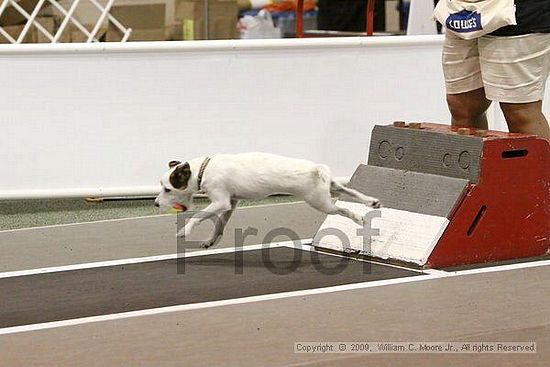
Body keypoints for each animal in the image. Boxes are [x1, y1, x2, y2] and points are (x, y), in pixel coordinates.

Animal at [154, 152, 380, 247]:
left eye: (167, 189)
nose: (155, 203)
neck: (203, 170)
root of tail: (315, 168)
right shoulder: (230, 204)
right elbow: (219, 225)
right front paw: (210, 240)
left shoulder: (220, 202)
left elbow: (198, 216)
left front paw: (184, 231)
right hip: (330, 188)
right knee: (349, 191)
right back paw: (371, 201)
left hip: (320, 202)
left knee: (344, 210)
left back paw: (359, 218)